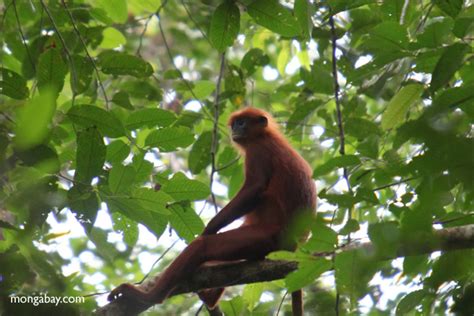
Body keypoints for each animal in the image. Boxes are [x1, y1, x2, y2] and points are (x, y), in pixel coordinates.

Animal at [109, 107, 316, 314]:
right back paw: (209, 297)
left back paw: (148, 297)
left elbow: (254, 189)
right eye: (235, 124)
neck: (265, 135)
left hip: (268, 237)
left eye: (242, 122)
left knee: (203, 246)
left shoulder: (259, 150)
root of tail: (294, 246)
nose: (235, 130)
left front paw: (209, 228)